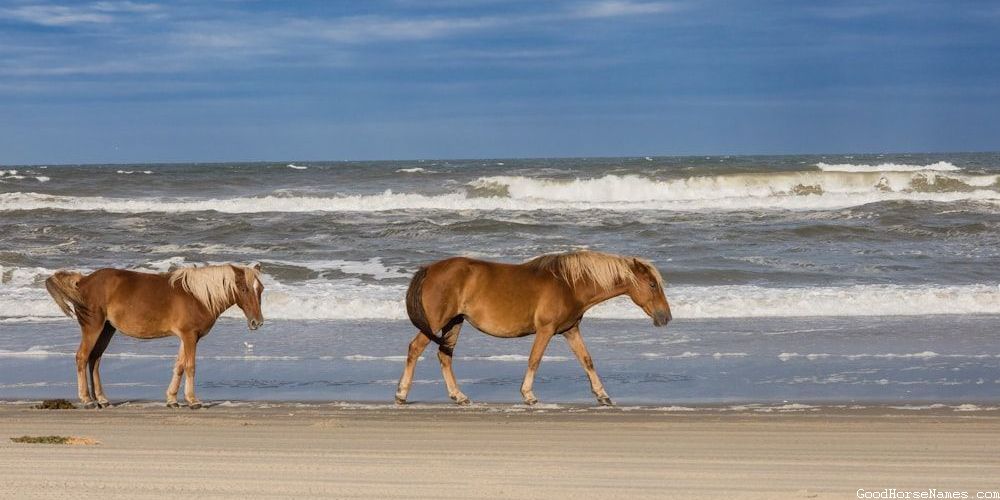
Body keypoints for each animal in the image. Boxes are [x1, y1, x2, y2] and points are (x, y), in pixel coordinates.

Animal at [44, 263, 264, 409]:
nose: (257, 322)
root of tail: (83, 281)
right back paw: (87, 399)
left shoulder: (187, 337)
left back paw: (102, 399)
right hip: (93, 327)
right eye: (243, 288)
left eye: (260, 289)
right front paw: (193, 400)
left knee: (94, 360)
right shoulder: (189, 336)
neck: (197, 296)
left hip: (106, 329)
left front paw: (172, 399)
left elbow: (179, 366)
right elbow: (190, 367)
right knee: (82, 357)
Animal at [395, 250, 672, 406]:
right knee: (415, 349)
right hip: (437, 322)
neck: (570, 284)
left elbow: (587, 360)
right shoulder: (546, 330)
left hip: (454, 323)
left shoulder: (570, 330)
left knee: (445, 355)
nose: (666, 317)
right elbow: (534, 360)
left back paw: (459, 396)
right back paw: (401, 394)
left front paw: (602, 395)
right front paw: (528, 395)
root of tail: (429, 269)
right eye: (652, 284)